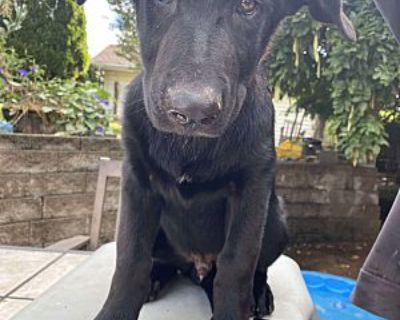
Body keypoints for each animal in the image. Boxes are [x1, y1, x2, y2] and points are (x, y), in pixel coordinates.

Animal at [78, 0, 354, 320]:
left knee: (251, 267)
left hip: (276, 221)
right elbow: (131, 259)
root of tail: (195, 266)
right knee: (162, 262)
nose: (192, 112)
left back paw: (258, 292)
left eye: (248, 6)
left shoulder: (251, 191)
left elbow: (236, 268)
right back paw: (156, 277)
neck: (190, 145)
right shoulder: (137, 182)